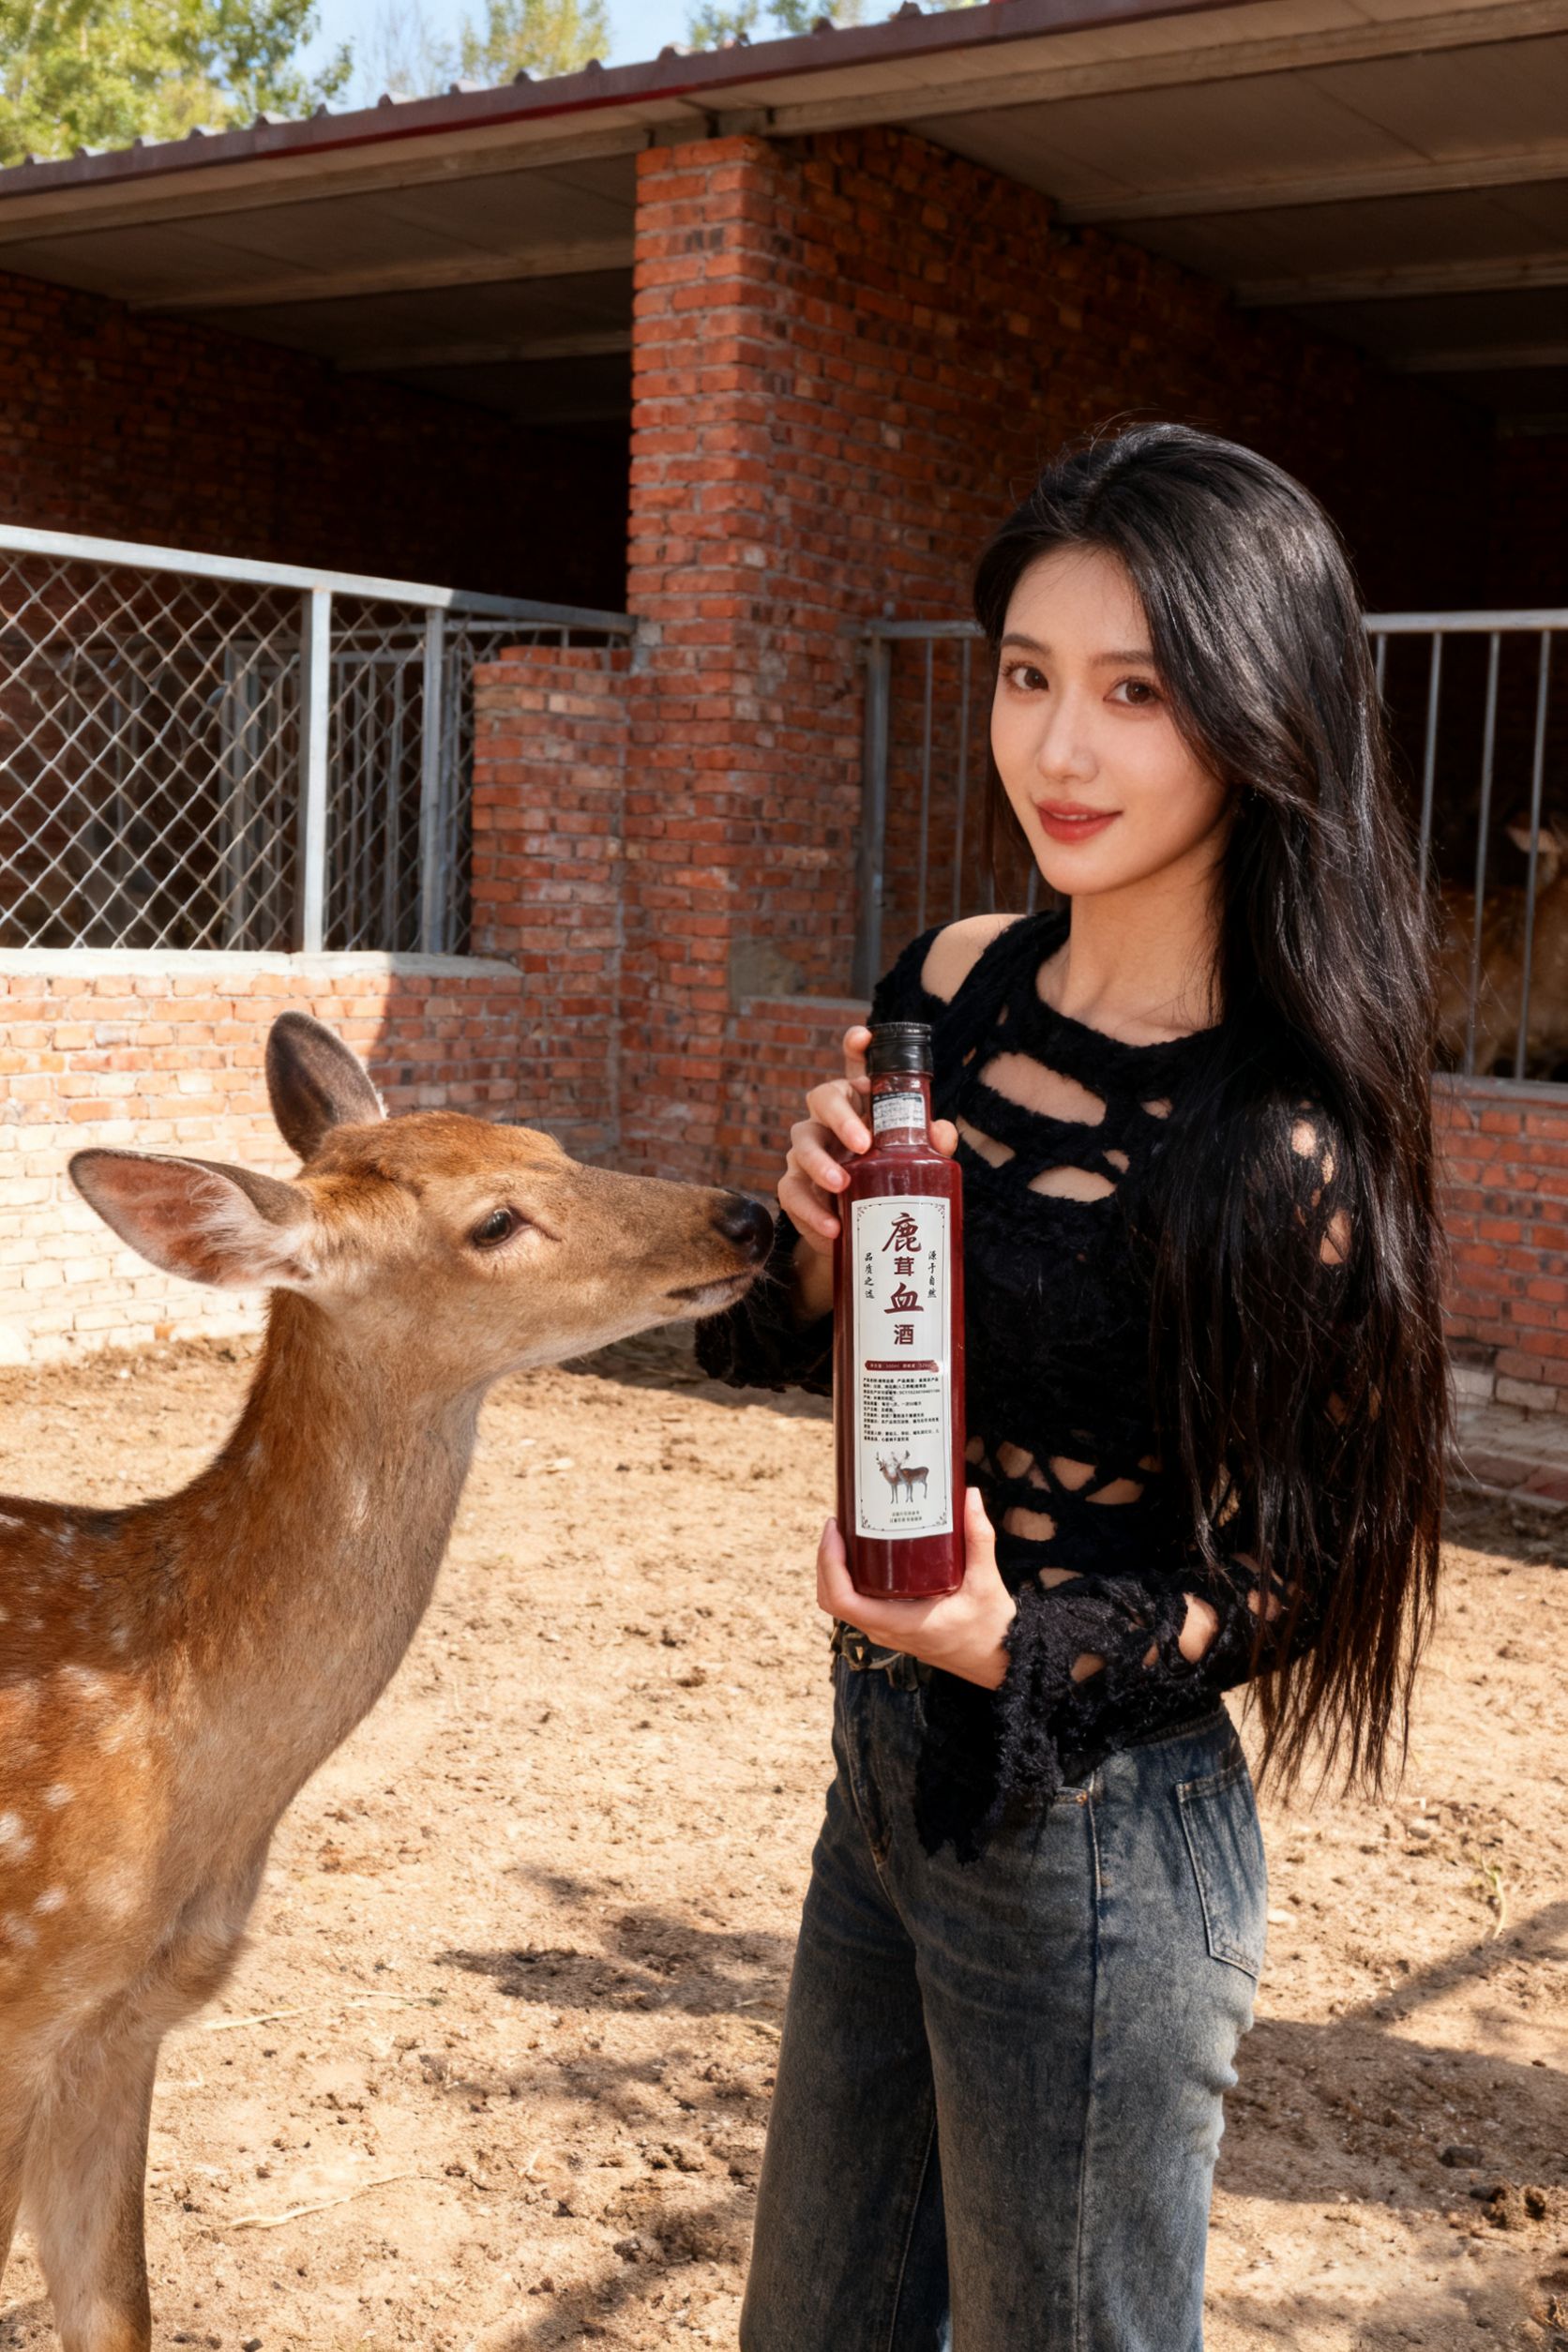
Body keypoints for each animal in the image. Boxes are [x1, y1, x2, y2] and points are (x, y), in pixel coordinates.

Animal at [0, 1011, 772, 2352]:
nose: (747, 1214)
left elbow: (118, 2310)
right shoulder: (15, 2009)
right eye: (495, 1221)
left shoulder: (119, 2034)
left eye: (545, 1141)